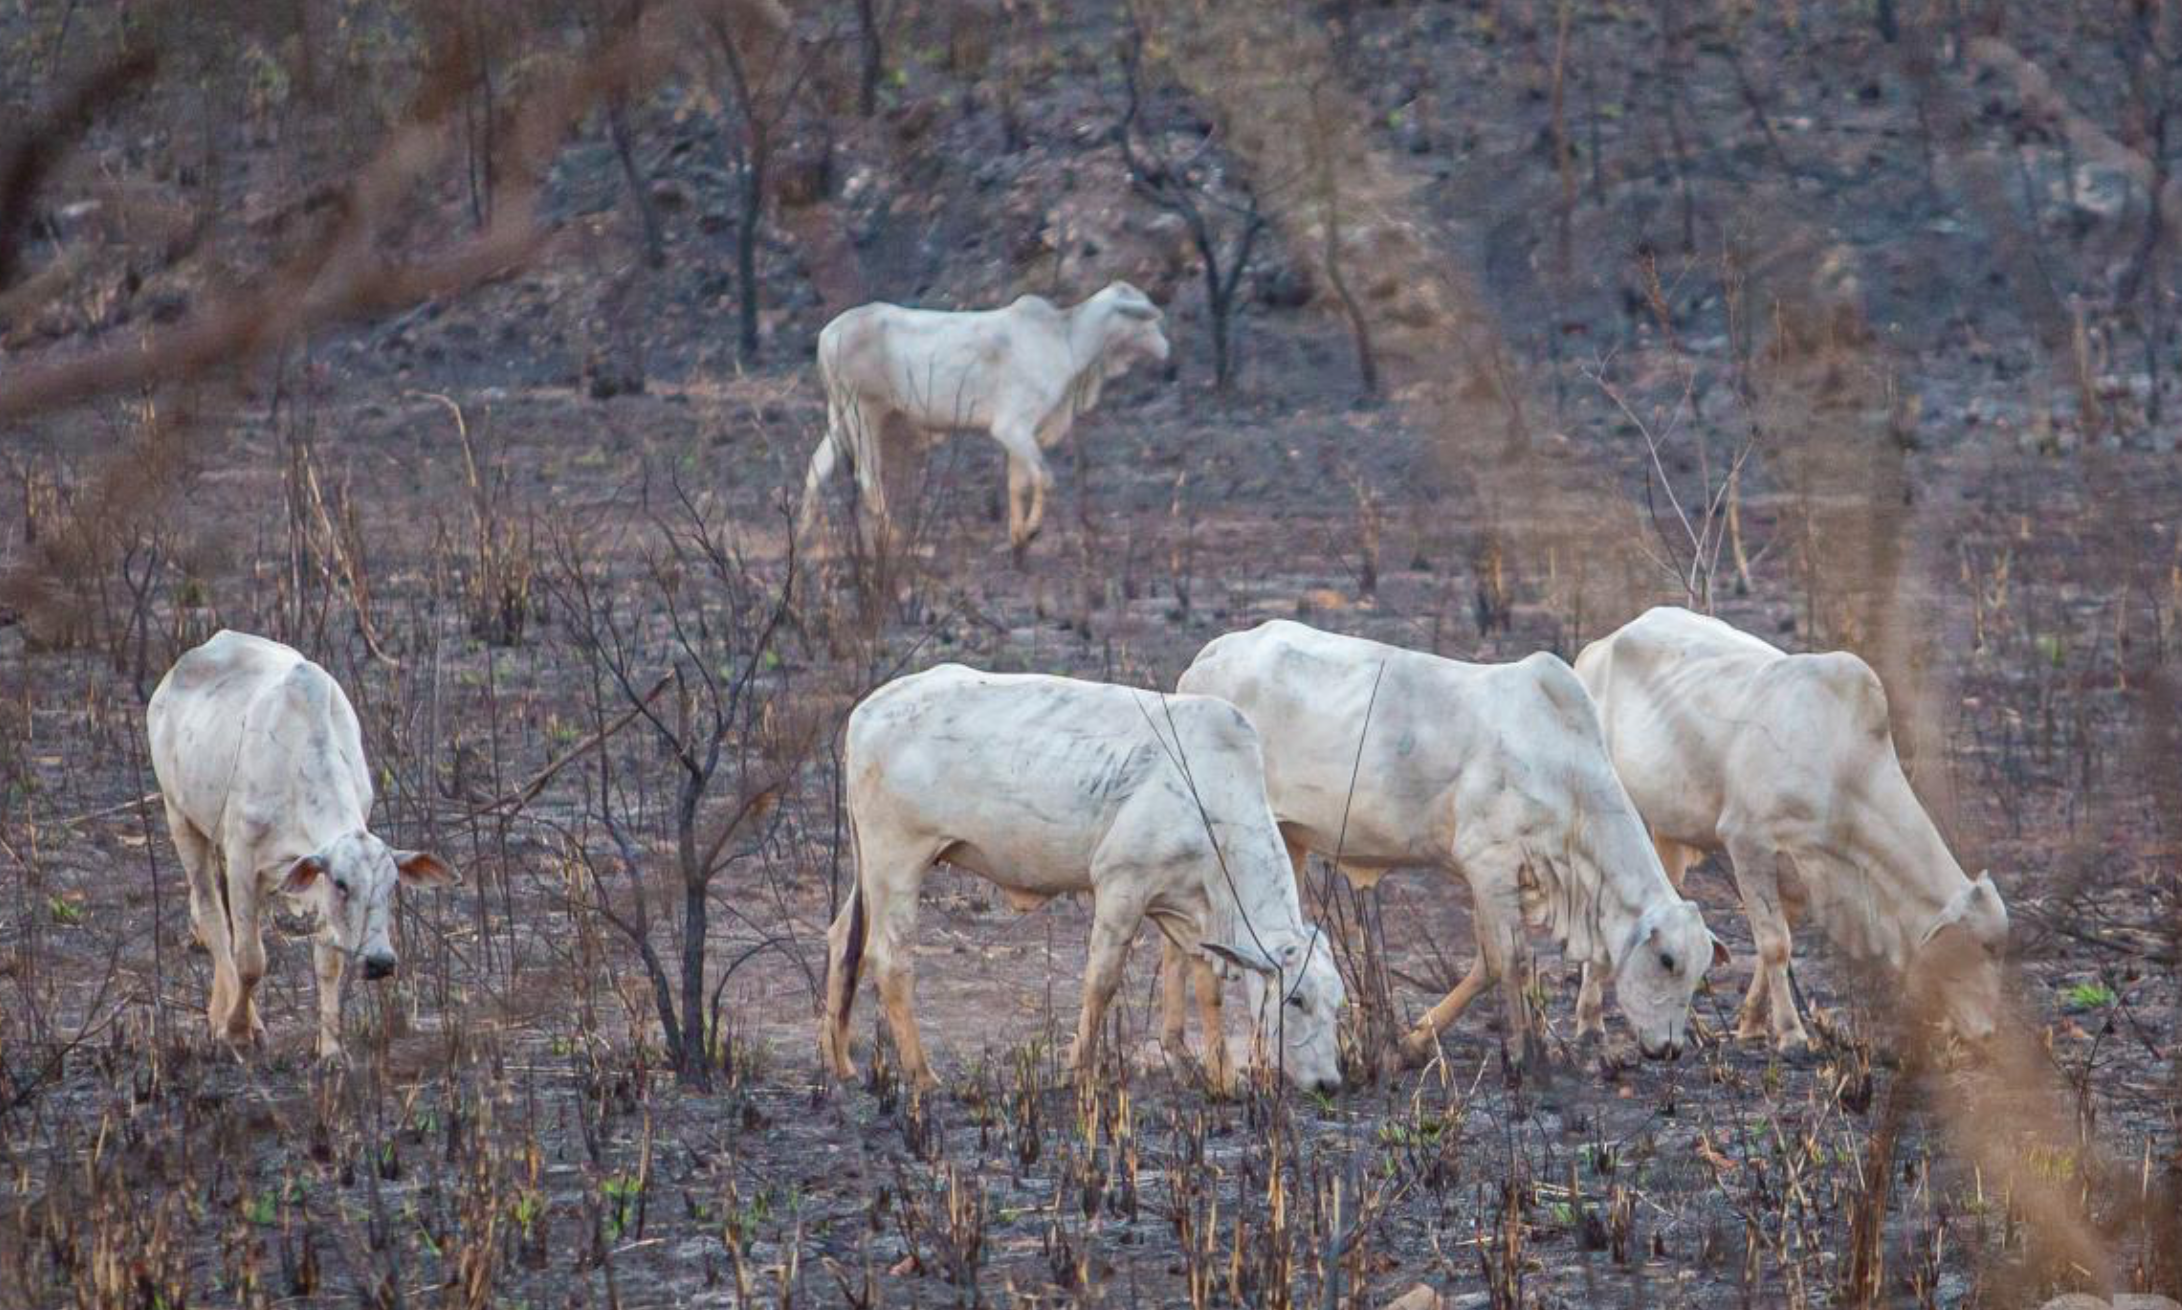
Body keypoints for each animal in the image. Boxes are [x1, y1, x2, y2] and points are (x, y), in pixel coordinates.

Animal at [145, 628, 456, 1061]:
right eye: (343, 884)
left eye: (392, 885)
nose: (380, 962)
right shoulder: (243, 859)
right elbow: (250, 960)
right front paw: (238, 1031)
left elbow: (328, 958)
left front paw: (330, 1049)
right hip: (182, 818)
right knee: (211, 917)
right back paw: (232, 1019)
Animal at [798, 279, 1178, 552]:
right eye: (1145, 318)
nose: (1166, 348)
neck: (1065, 339)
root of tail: (827, 334)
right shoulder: (1013, 427)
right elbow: (1044, 478)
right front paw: (1032, 529)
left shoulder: (1019, 435)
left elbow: (1017, 483)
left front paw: (1017, 534)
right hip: (863, 411)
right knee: (867, 476)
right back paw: (895, 536)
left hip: (841, 415)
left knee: (817, 467)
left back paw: (806, 536)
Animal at [820, 663, 1344, 1096]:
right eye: (1296, 999)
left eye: (1338, 1002)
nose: (1328, 1083)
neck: (1214, 795)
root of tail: (870, 708)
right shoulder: (1121, 884)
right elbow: (1102, 980)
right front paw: (1079, 1070)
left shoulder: (1190, 911)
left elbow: (1207, 987)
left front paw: (1223, 1077)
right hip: (897, 860)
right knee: (889, 958)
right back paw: (922, 1073)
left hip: (872, 870)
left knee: (844, 939)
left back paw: (839, 1061)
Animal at [1178, 620, 1719, 1065]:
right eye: (1668, 961)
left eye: (1700, 971)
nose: (1670, 1048)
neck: (1564, 770)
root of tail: (1210, 654)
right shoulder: (1488, 863)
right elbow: (1510, 962)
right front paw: (1528, 1056)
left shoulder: (1495, 877)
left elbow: (1485, 963)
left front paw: (1413, 1042)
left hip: (1289, 839)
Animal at [1571, 606, 2007, 1052]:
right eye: (1982, 947)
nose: (1990, 1033)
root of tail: (1600, 646)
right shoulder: (1747, 842)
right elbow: (1774, 945)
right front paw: (1792, 1033)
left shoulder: (1799, 870)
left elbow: (1781, 943)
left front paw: (1752, 1025)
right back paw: (1589, 1021)